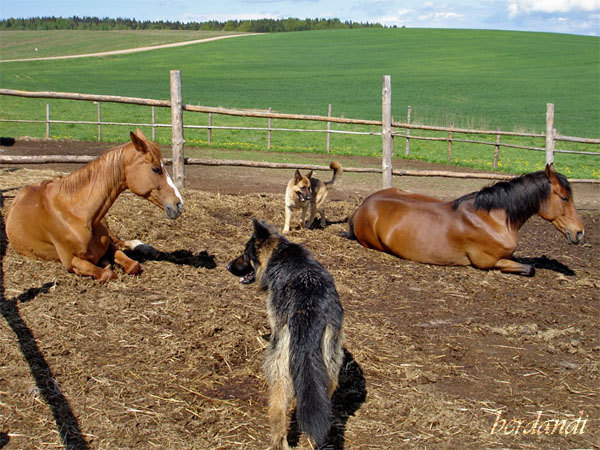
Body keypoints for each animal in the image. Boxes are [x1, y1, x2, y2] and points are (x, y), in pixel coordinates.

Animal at [5, 127, 183, 282]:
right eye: (156, 169)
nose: (179, 204)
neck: (76, 213)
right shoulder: (71, 261)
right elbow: (107, 273)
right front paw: (106, 266)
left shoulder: (109, 246)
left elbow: (131, 264)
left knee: (119, 239)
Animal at [227, 218, 344, 446]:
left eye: (245, 254)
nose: (227, 266)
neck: (280, 255)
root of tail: (309, 309)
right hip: (330, 367)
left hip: (279, 366)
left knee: (278, 413)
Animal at [350, 165, 584, 276]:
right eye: (564, 197)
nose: (579, 232)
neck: (492, 218)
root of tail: (363, 205)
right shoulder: (489, 262)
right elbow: (530, 269)